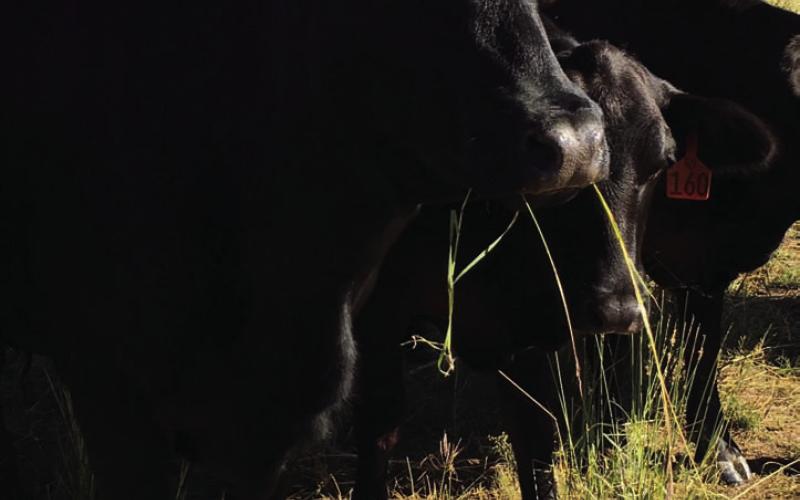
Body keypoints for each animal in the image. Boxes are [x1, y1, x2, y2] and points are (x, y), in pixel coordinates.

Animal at [351, 30, 777, 499]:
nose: (619, 310)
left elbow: (536, 452)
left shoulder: (525, 336)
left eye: (663, 162)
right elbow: (378, 433)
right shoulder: (377, 318)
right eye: (556, 169)